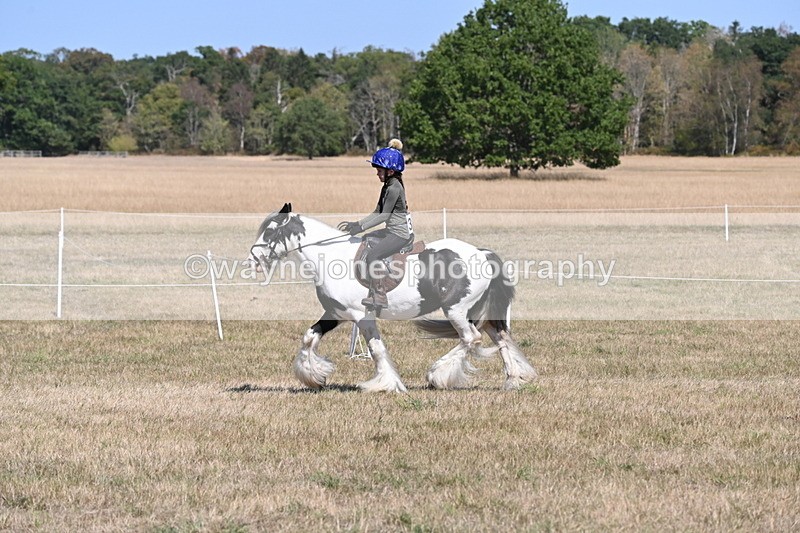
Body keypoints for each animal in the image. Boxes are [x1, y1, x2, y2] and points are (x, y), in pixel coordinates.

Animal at [248, 203, 537, 392]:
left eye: (270, 232)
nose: (254, 259)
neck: (330, 256)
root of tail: (480, 252)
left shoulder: (361, 317)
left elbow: (376, 349)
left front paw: (387, 384)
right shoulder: (336, 314)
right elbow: (309, 337)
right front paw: (313, 377)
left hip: (456, 310)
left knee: (471, 338)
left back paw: (437, 376)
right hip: (478, 310)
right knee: (499, 337)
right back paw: (513, 380)